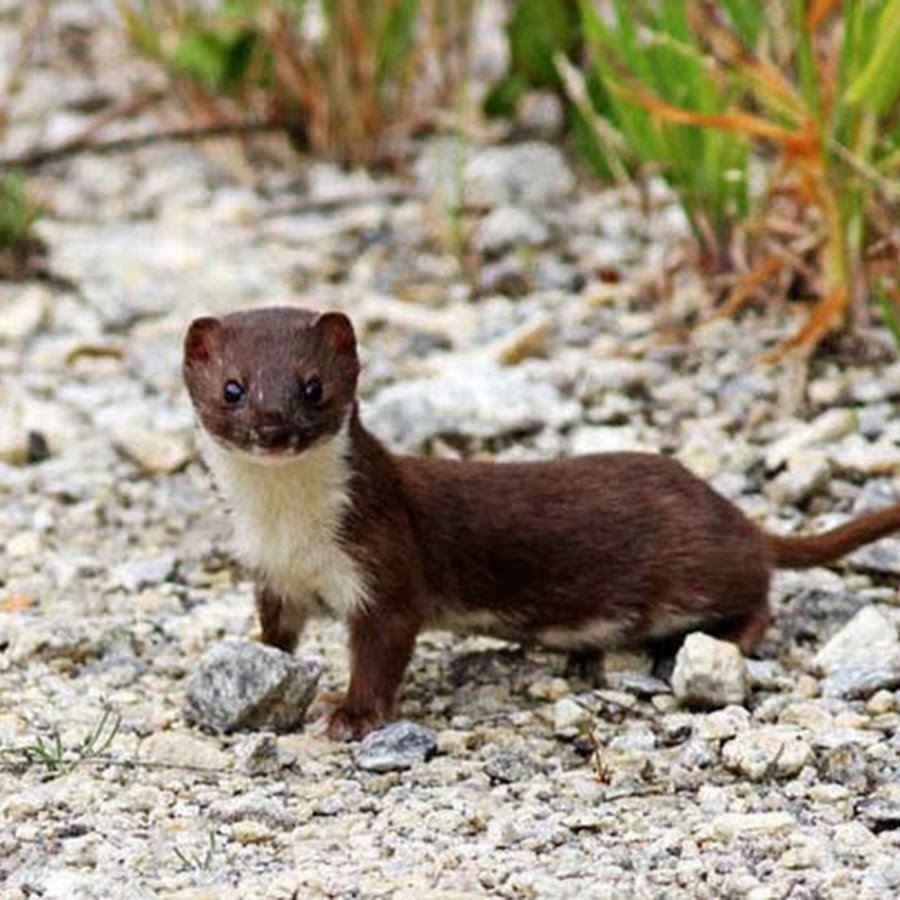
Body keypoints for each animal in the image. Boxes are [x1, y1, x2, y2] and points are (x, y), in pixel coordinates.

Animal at [181, 308, 900, 740]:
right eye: (233, 388)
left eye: (312, 387)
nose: (273, 428)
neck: (289, 527)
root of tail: (732, 513)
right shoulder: (270, 573)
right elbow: (277, 636)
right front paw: (264, 668)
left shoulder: (384, 560)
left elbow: (385, 644)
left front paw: (352, 715)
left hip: (702, 572)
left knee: (758, 593)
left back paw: (719, 642)